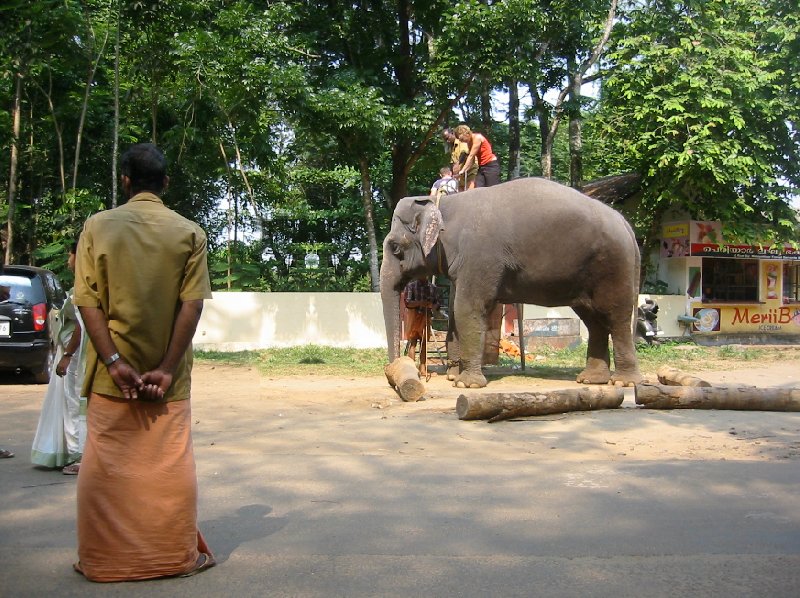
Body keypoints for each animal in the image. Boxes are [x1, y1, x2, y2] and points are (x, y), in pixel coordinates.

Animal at [382, 177, 644, 394]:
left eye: (395, 247)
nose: (393, 374)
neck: (444, 204)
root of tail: (625, 223)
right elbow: (456, 312)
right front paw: (454, 376)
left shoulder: (479, 256)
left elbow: (467, 308)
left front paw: (466, 384)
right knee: (593, 320)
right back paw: (591, 379)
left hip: (613, 265)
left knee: (616, 316)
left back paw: (623, 382)